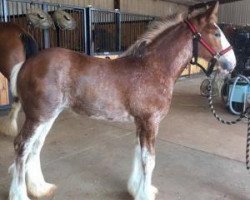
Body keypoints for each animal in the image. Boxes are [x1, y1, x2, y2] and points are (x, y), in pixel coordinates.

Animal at [7, 3, 235, 200]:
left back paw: (39, 188)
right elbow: (149, 160)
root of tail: (27, 64)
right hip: (38, 116)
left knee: (35, 147)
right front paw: (145, 194)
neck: (152, 68)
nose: (232, 63)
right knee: (22, 146)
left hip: (48, 116)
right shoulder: (150, 122)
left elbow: (138, 154)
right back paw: (20, 194)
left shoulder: (141, 123)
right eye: (216, 33)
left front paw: (136, 189)